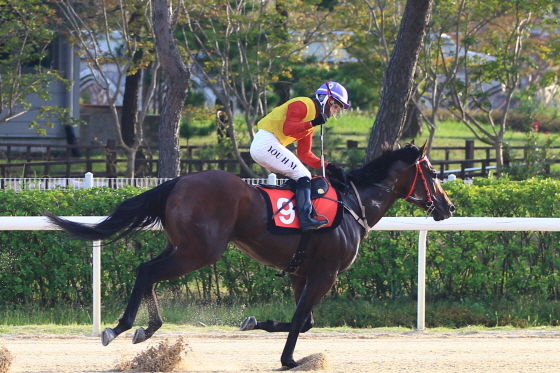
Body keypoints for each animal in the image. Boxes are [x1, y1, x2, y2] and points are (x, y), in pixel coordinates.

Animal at [43, 141, 456, 368]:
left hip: (181, 244)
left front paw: (254, 322)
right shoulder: (324, 275)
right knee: (147, 271)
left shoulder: (301, 273)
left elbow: (303, 321)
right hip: (200, 251)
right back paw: (122, 327)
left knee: (148, 271)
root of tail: (179, 180)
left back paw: (147, 327)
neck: (354, 204)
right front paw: (289, 360)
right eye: (433, 173)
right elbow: (300, 321)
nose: (448, 207)